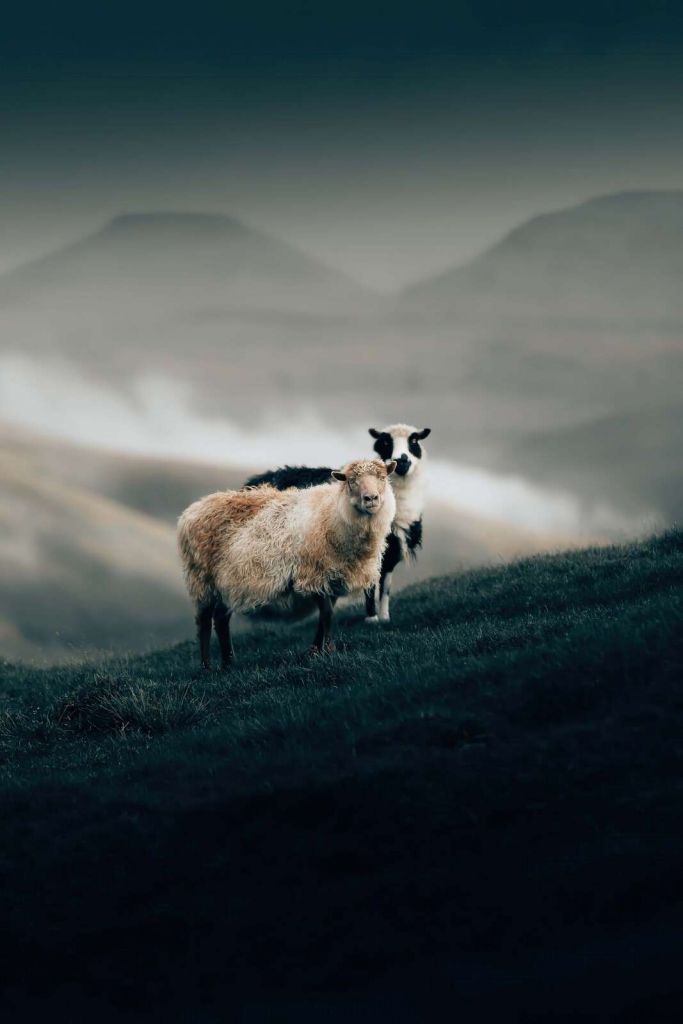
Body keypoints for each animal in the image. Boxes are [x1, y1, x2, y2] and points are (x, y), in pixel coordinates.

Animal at [177, 458, 397, 667]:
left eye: (383, 478)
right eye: (351, 481)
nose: (371, 499)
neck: (332, 514)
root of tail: (191, 510)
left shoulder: (333, 577)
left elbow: (326, 615)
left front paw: (317, 651)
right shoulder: (312, 574)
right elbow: (326, 614)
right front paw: (327, 650)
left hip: (226, 583)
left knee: (221, 619)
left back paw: (228, 663)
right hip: (202, 580)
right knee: (204, 623)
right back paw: (206, 666)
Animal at [244, 423, 431, 625]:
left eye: (414, 441)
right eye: (385, 442)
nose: (401, 461)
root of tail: (252, 483)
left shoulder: (392, 551)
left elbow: (385, 587)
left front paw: (384, 617)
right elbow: (370, 585)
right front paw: (372, 618)